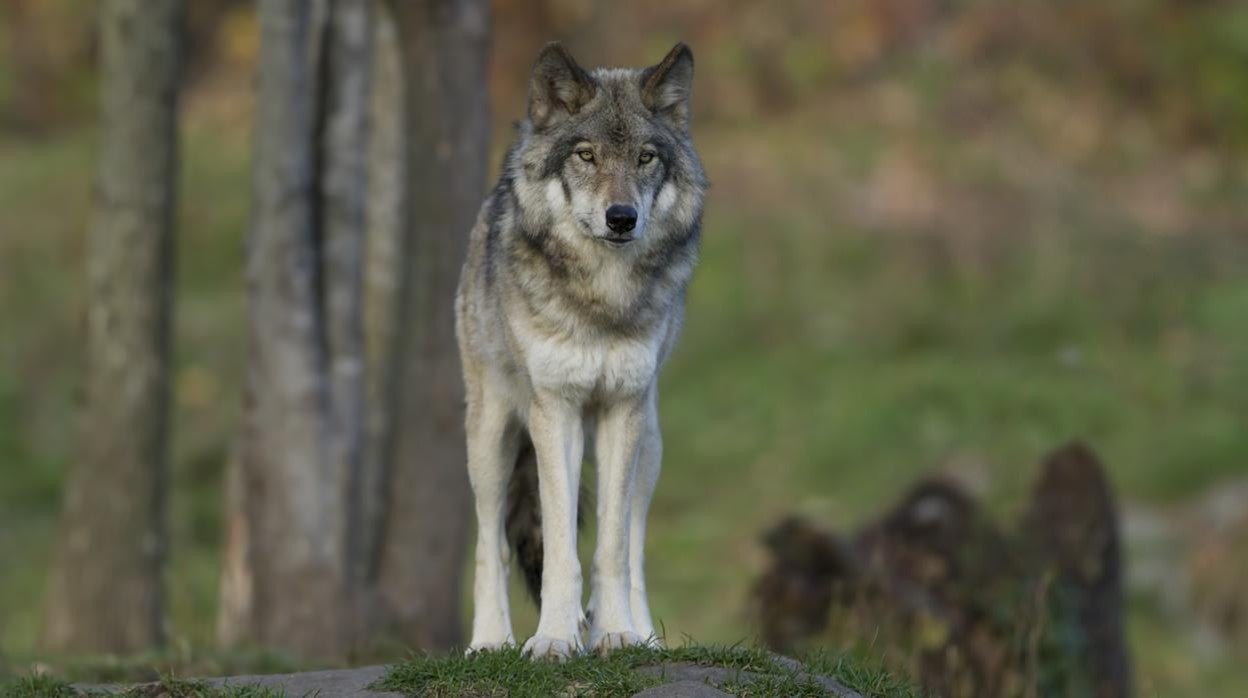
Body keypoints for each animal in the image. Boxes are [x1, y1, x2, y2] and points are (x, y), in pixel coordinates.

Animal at [456, 40, 713, 659]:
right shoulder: (555, 410)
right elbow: (558, 551)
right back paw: (491, 640)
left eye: (645, 158)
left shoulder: (622, 409)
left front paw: (616, 632)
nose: (622, 218)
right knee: (491, 544)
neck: (603, 298)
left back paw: (638, 632)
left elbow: (613, 547)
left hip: (650, 440)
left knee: (634, 544)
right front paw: (552, 638)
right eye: (587, 156)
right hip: (491, 438)